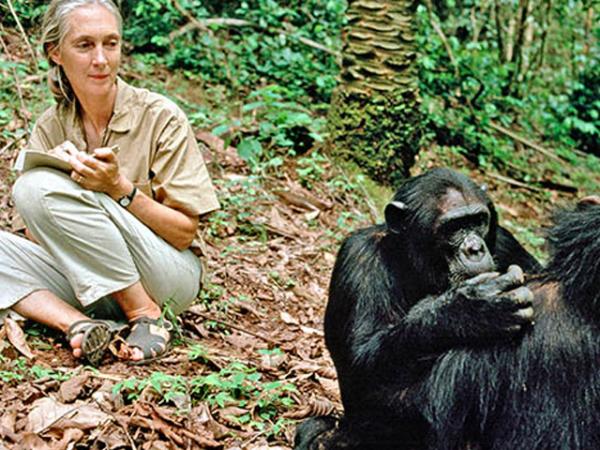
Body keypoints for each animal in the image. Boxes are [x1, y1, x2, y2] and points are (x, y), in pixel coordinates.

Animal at [296, 167, 540, 448]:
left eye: (478, 220)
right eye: (454, 227)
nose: (475, 248)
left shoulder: (507, 243)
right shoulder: (359, 258)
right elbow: (360, 361)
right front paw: (472, 308)